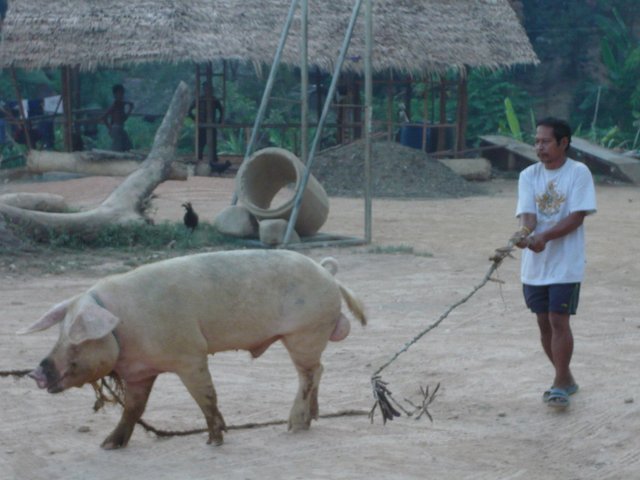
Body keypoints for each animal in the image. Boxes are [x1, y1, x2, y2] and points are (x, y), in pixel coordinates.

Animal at [18, 249, 364, 448]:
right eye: (59, 334)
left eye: (75, 337)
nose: (35, 372)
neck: (124, 327)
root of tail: (327, 273)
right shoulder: (140, 372)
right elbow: (134, 408)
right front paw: (108, 445)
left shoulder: (190, 355)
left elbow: (205, 396)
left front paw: (214, 440)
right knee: (318, 370)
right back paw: (310, 419)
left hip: (305, 332)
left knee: (309, 373)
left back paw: (293, 427)